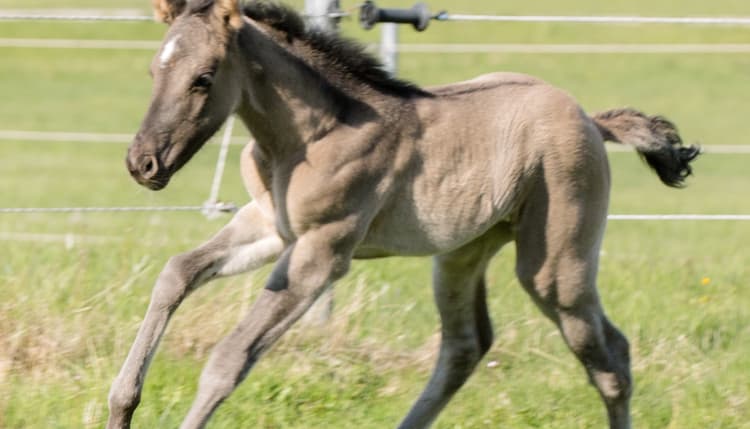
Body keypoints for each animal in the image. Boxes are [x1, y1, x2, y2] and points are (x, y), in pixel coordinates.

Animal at [108, 1, 699, 428]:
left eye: (204, 77)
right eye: (153, 70)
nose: (143, 163)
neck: (312, 134)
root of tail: (590, 120)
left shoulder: (323, 252)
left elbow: (229, 358)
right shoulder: (270, 227)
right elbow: (176, 273)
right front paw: (121, 404)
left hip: (555, 267)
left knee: (611, 356)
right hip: (463, 253)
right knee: (466, 346)